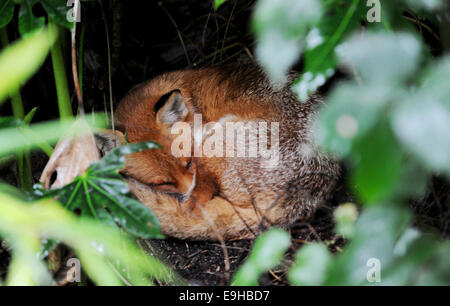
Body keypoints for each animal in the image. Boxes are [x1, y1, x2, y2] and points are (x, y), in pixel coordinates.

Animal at [103, 64, 342, 241]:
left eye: (188, 162)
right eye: (165, 183)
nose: (185, 195)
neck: (192, 103)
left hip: (215, 141)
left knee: (203, 194)